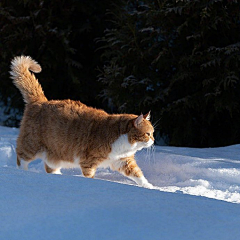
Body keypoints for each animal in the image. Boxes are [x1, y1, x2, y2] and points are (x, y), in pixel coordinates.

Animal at [9, 55, 154, 188]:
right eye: (148, 134)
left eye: (153, 133)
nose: (153, 140)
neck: (122, 142)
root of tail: (40, 101)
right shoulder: (88, 162)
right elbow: (89, 177)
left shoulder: (123, 161)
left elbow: (138, 174)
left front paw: (150, 187)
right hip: (31, 145)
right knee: (21, 158)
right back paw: (24, 173)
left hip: (54, 154)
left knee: (50, 167)